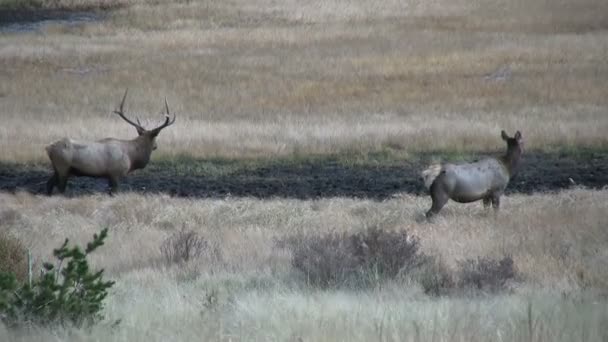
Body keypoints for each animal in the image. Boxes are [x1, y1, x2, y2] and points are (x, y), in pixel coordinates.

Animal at [46, 89, 175, 196]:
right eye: (155, 137)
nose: (156, 146)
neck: (132, 156)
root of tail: (48, 148)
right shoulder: (115, 173)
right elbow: (114, 193)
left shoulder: (109, 176)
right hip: (63, 167)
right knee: (60, 188)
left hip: (57, 168)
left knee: (49, 184)